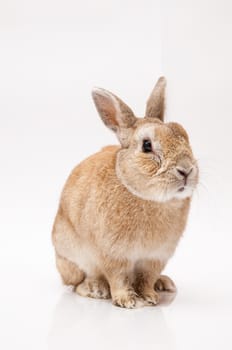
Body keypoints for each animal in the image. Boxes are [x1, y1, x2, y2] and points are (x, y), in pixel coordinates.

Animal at [51, 77, 198, 308]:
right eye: (147, 145)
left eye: (184, 133)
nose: (186, 170)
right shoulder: (113, 254)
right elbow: (118, 277)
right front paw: (128, 301)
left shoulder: (155, 257)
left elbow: (146, 278)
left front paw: (149, 296)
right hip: (72, 257)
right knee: (76, 283)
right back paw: (96, 289)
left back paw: (163, 283)